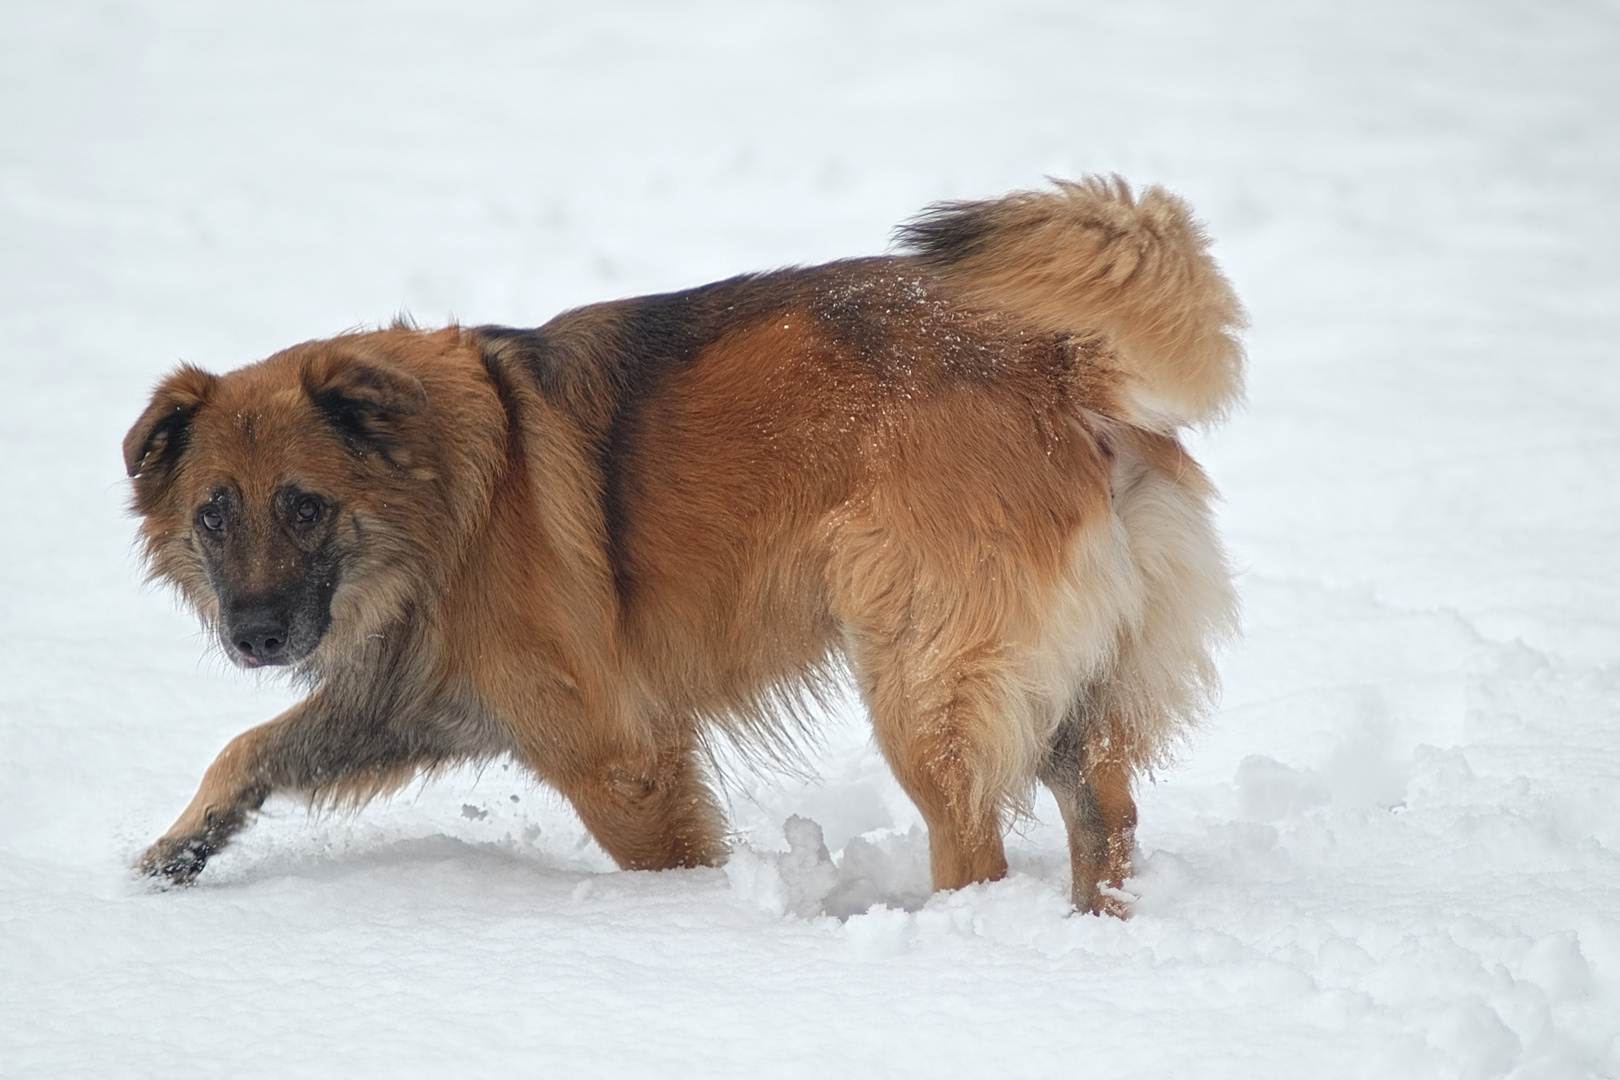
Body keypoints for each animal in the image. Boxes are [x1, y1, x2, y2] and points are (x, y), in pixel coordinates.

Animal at [126, 177, 1237, 913]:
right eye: (213, 514)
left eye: (305, 507)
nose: (254, 636)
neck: (454, 493)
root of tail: (1064, 369)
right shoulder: (417, 694)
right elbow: (253, 747)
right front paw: (178, 847)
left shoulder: (615, 753)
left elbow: (665, 856)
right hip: (1064, 695)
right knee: (1104, 815)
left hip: (927, 690)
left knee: (975, 845)